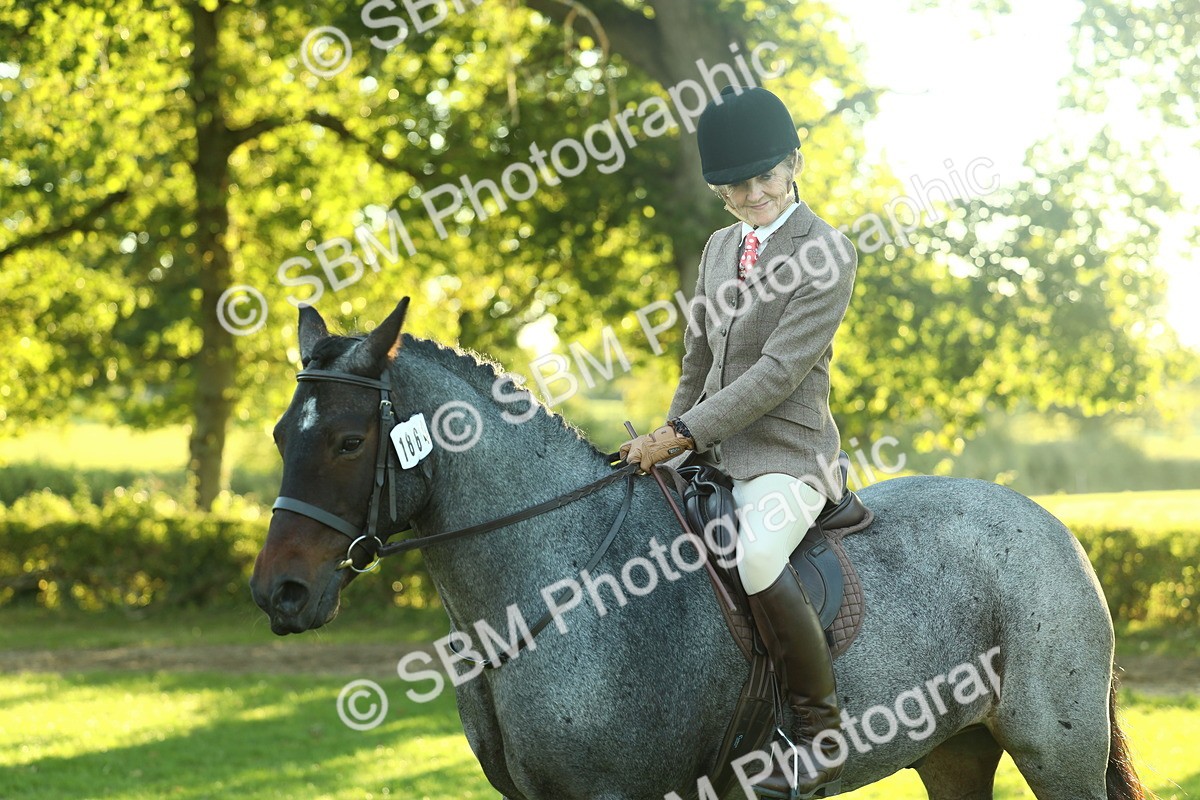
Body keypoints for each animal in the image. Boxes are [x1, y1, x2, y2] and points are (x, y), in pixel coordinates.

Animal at [250, 298, 1145, 800]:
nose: (278, 594)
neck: (550, 584)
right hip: (954, 750)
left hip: (1055, 750)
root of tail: (1050, 525)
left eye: (347, 441)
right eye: (281, 435)